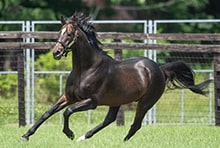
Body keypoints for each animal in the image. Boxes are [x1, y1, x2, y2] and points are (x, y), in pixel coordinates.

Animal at [20, 12, 211, 142]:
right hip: (117, 101)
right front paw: (25, 136)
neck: (86, 69)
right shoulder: (68, 97)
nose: (56, 53)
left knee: (135, 124)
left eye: (69, 34)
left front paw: (70, 134)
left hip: (145, 103)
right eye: (58, 32)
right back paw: (85, 137)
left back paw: (121, 140)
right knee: (110, 120)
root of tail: (160, 69)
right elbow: (48, 113)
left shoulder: (92, 101)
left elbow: (67, 112)